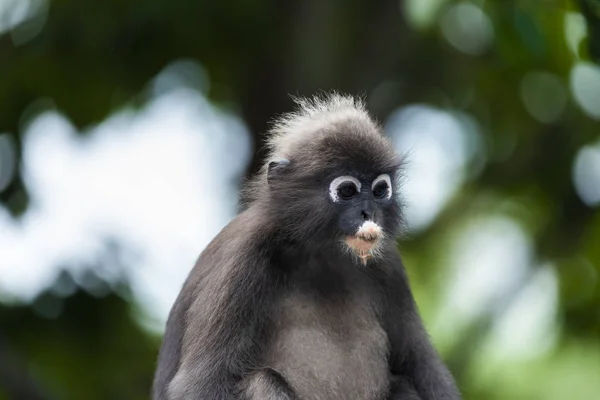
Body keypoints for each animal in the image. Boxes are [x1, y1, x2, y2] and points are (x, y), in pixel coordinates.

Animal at [151, 92, 460, 398]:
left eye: (380, 190)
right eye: (347, 190)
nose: (368, 213)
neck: (321, 253)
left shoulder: (388, 265)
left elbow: (421, 366)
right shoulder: (241, 259)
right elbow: (201, 381)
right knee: (262, 381)